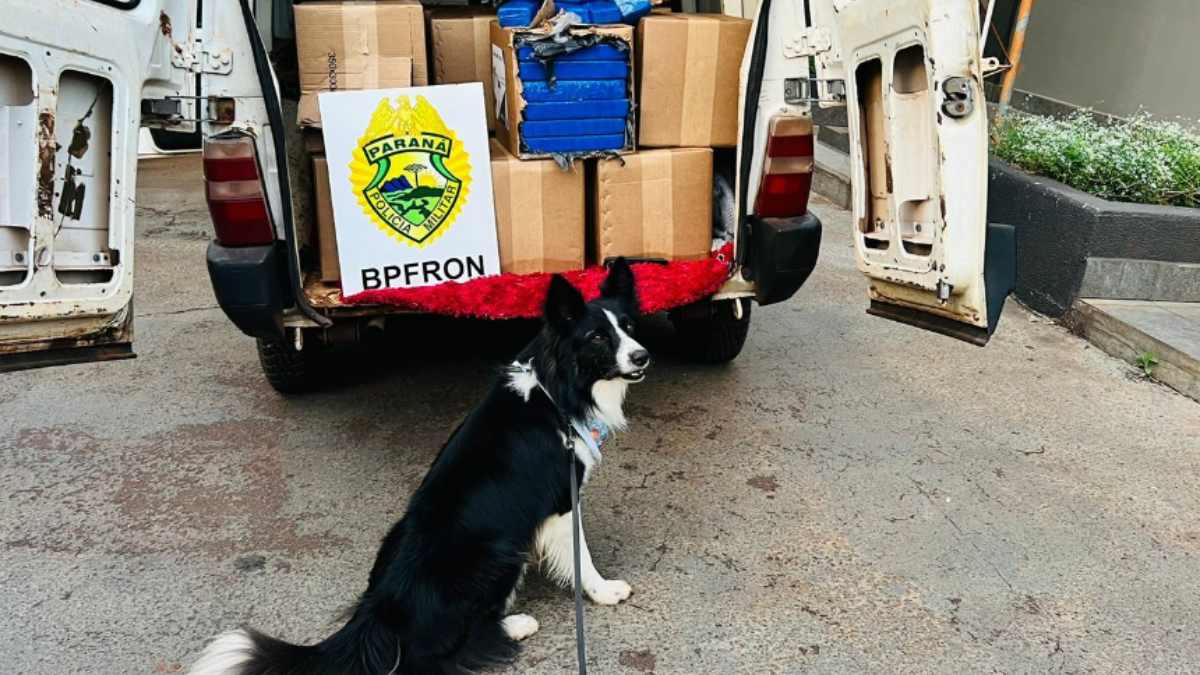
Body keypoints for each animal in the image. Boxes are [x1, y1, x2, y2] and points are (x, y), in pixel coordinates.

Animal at [189, 258, 648, 672]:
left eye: (628, 325)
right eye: (597, 337)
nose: (642, 356)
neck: (558, 392)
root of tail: (380, 616)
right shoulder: (560, 502)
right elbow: (580, 556)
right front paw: (603, 591)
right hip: (498, 551)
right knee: (445, 650)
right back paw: (516, 625)